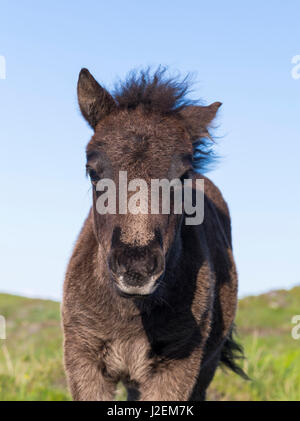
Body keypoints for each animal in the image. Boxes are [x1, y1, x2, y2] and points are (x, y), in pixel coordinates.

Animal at [61, 67, 246, 398]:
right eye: (92, 171)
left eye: (184, 176)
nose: (136, 268)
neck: (130, 313)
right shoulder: (83, 357)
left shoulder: (178, 367)